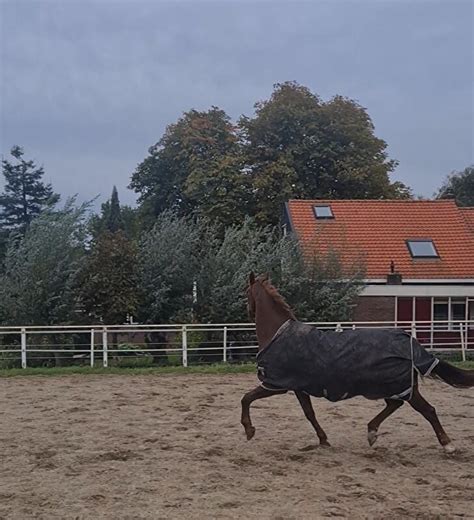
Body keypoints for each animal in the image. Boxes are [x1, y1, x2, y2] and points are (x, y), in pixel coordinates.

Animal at [241, 274, 474, 452]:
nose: (248, 312)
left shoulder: (275, 384)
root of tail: (409, 342)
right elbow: (309, 413)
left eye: (246, 292)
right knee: (395, 404)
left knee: (427, 410)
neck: (278, 334)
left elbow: (246, 398)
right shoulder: (299, 387)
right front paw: (323, 440)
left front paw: (249, 431)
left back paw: (448, 445)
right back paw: (372, 432)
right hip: (392, 387)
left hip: (401, 387)